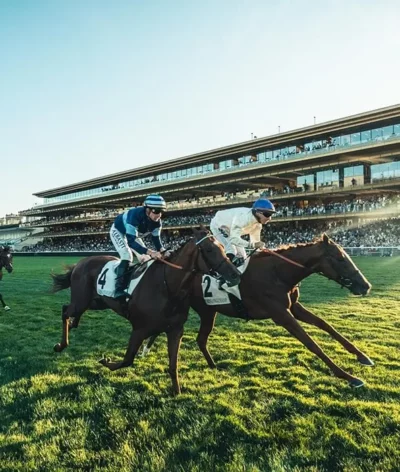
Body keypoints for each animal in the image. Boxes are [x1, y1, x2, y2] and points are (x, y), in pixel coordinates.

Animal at [52, 229, 242, 394]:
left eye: (223, 247)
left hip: (97, 302)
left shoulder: (175, 330)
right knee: (65, 311)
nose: (236, 275)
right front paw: (106, 361)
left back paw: (73, 324)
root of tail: (81, 263)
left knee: (70, 310)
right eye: (209, 249)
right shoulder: (139, 329)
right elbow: (127, 360)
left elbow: (173, 364)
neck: (168, 288)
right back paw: (61, 344)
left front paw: (177, 391)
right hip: (82, 300)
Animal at [144, 234, 376, 390]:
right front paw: (349, 377)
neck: (277, 273)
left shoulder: (294, 307)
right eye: (340, 258)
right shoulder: (281, 314)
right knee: (196, 338)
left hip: (208, 312)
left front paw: (362, 356)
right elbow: (312, 343)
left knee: (201, 339)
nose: (365, 286)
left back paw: (213, 365)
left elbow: (325, 324)